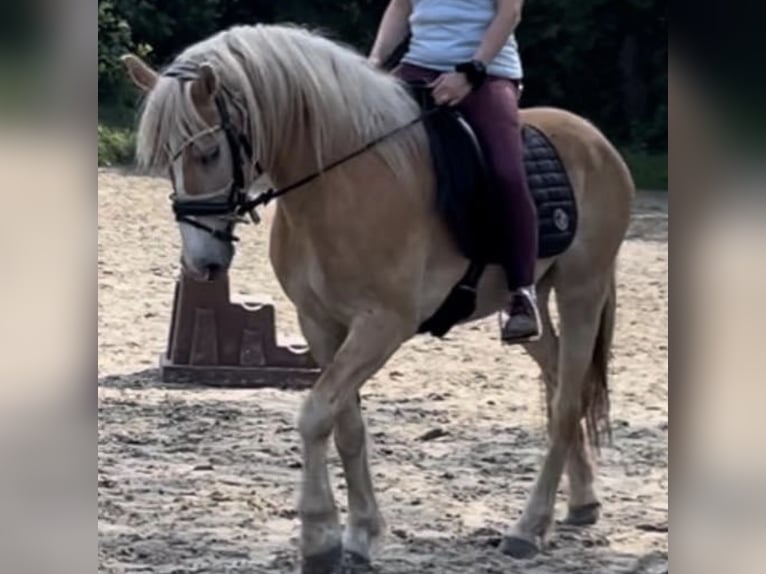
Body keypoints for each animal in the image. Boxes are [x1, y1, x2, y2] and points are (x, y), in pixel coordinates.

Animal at [121, 23, 634, 572]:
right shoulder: (321, 324)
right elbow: (346, 425)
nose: (203, 263)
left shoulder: (382, 325)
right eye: (165, 160)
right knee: (563, 383)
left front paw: (319, 539)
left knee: (564, 403)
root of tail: (597, 142)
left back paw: (529, 527)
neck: (342, 183)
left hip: (582, 291)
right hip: (532, 308)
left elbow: (315, 414)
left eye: (210, 153)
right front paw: (359, 536)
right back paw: (582, 502)